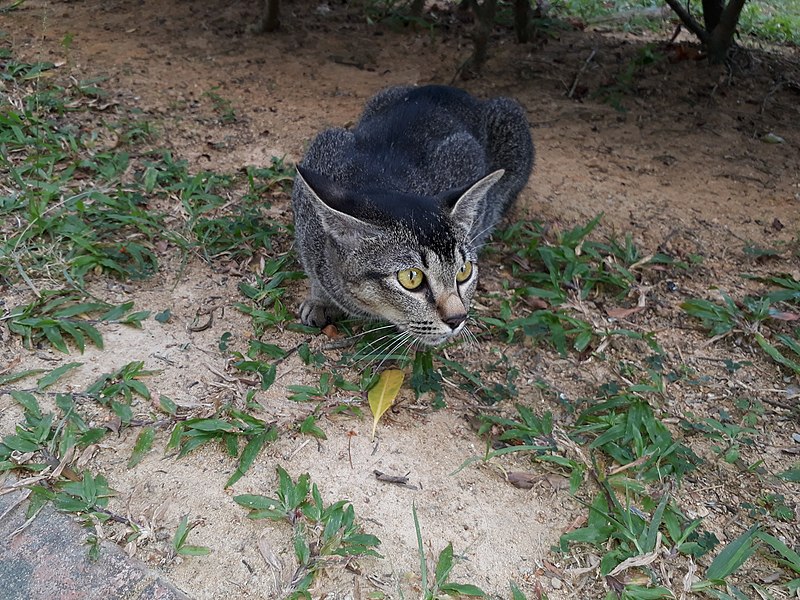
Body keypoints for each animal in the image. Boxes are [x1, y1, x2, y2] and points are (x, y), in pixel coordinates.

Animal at [290, 84, 536, 346]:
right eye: (411, 278)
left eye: (464, 271)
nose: (457, 318)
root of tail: (449, 90)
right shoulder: (320, 156)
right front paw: (321, 299)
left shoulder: (466, 156)